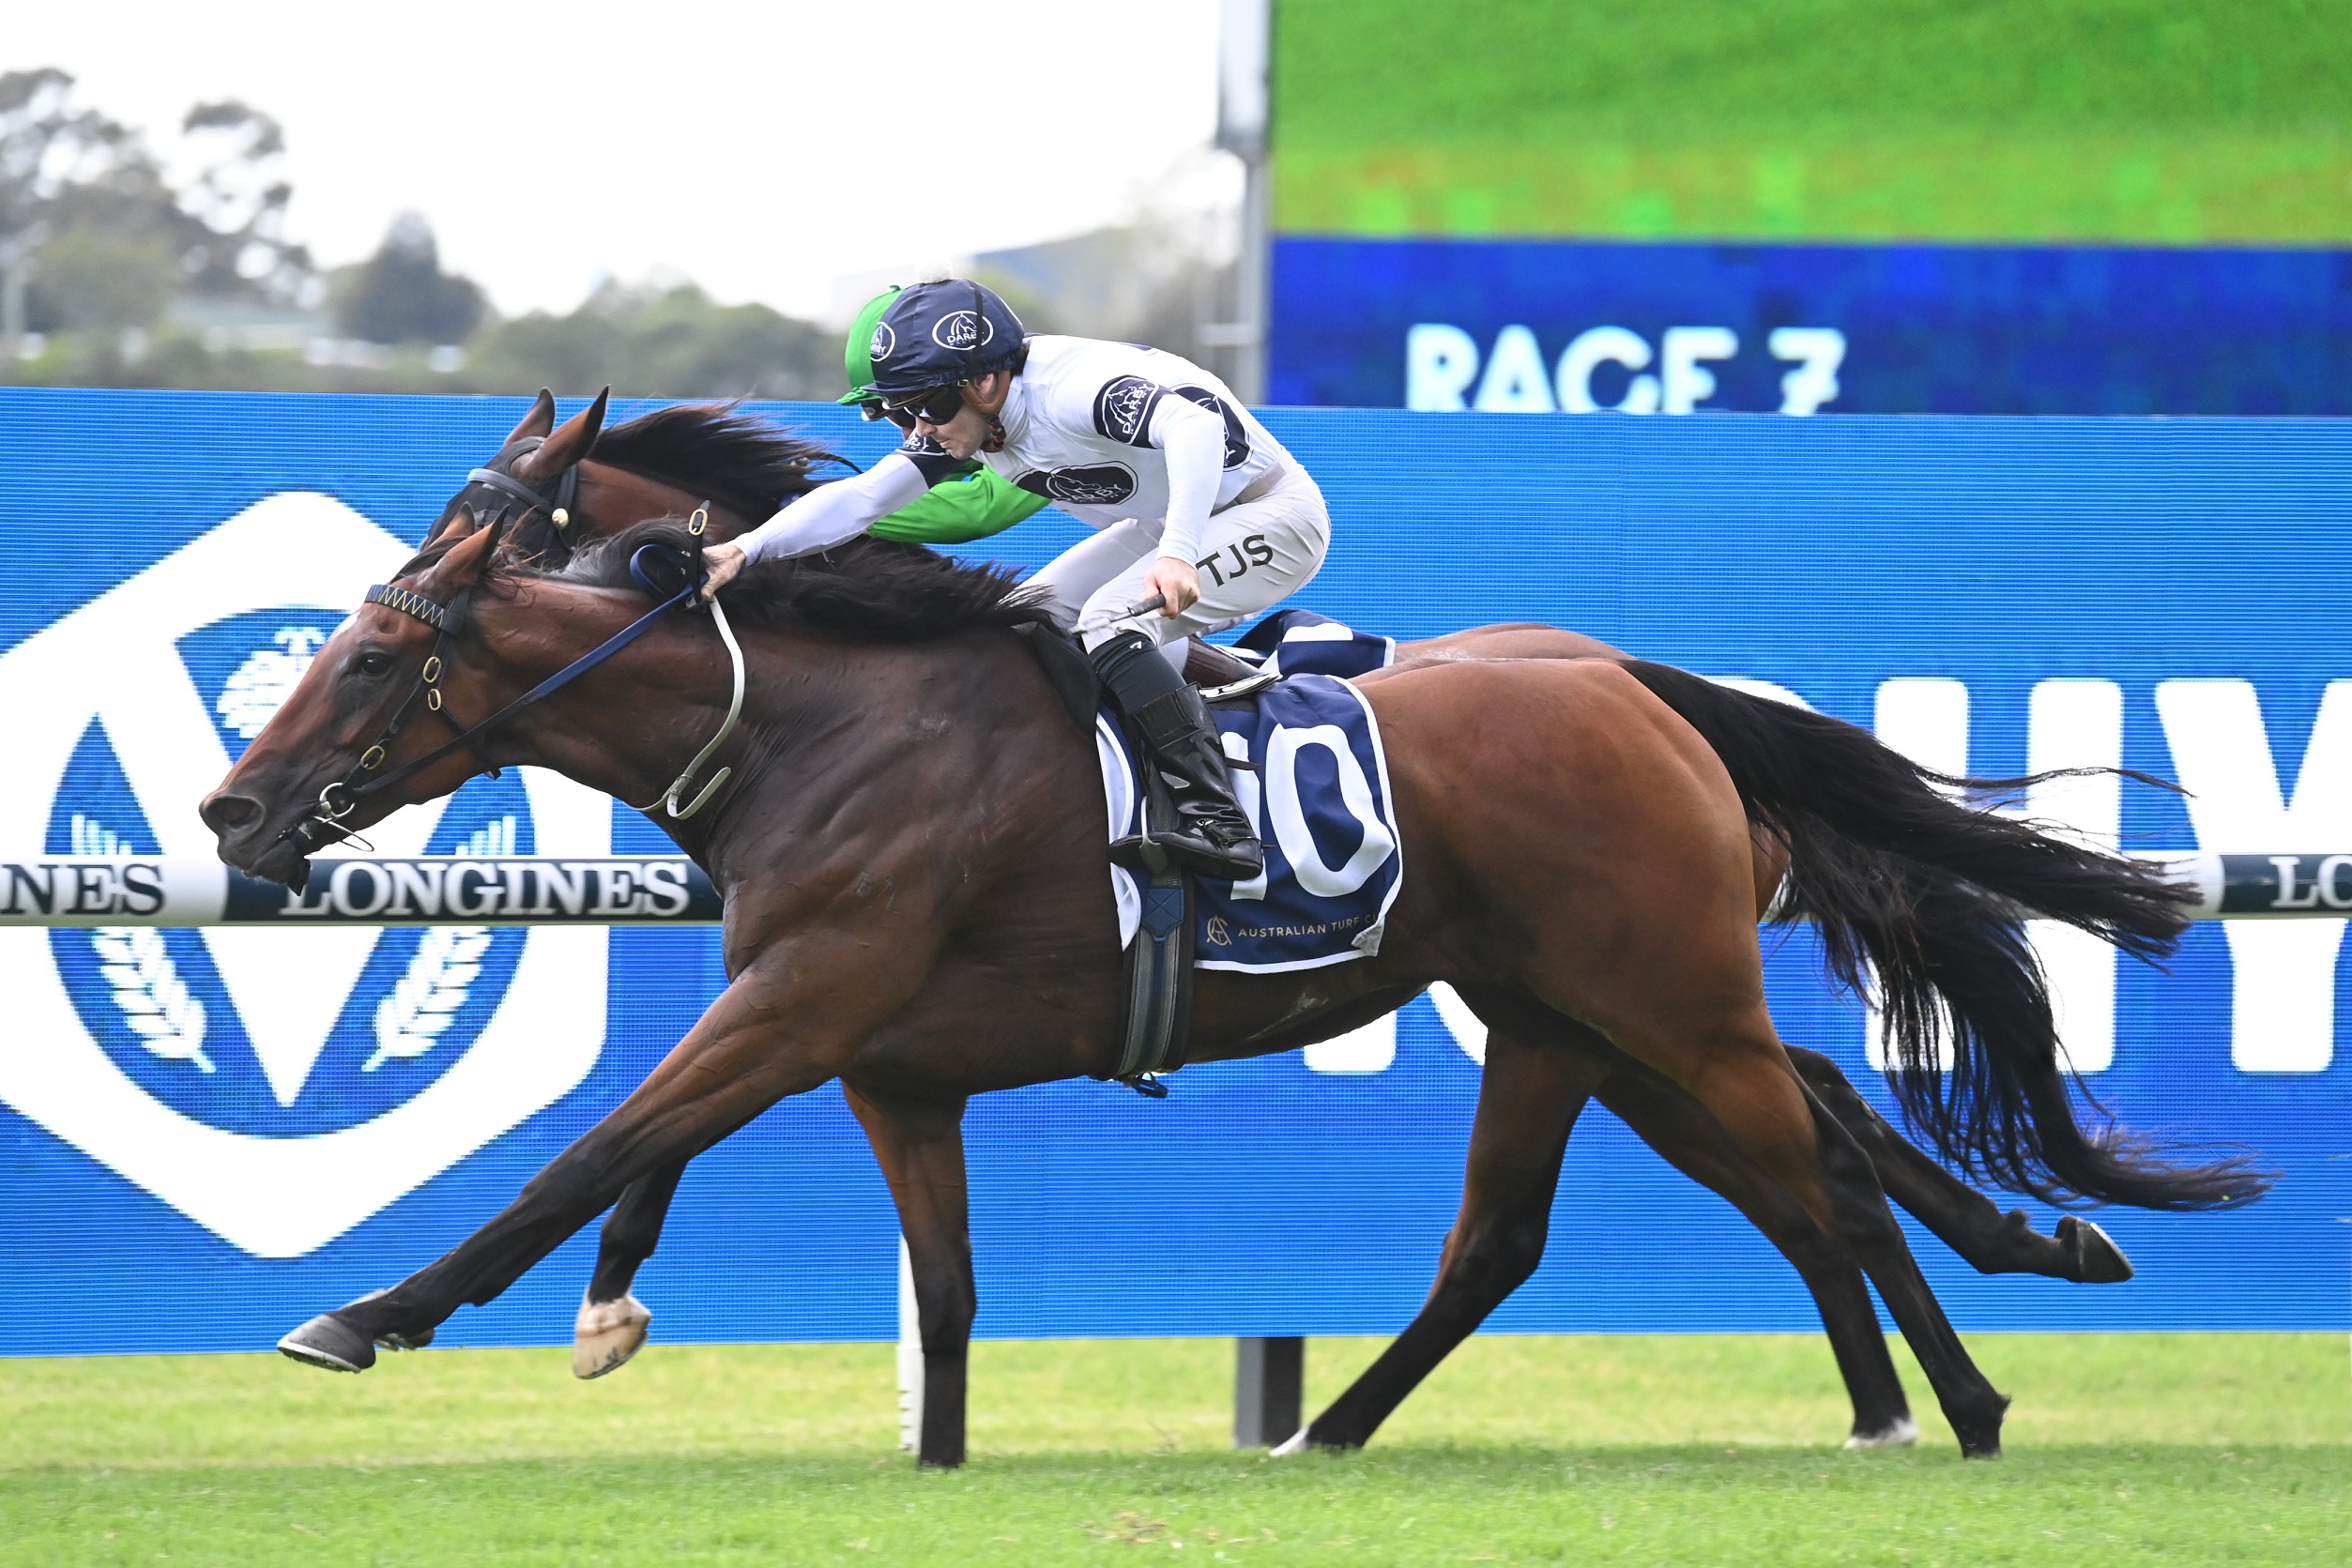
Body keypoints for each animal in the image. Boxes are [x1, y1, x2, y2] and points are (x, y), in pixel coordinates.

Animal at [200, 512, 2259, 1465]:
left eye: (369, 655)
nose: (229, 807)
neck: (810, 724)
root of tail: (1632, 686)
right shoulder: (880, 1061)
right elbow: (930, 1284)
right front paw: (931, 1459)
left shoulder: (805, 1000)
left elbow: (583, 1153)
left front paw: (368, 1314)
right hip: (1578, 1021)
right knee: (1606, 1210)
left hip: (1658, 999)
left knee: (1806, 1172)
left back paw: (1930, 1401)